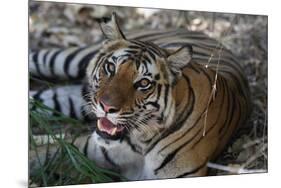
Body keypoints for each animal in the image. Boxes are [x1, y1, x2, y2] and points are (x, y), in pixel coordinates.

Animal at [29, 12, 250, 180]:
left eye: (143, 83)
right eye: (111, 68)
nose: (105, 107)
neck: (140, 142)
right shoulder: (79, 148)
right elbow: (38, 156)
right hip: (70, 59)